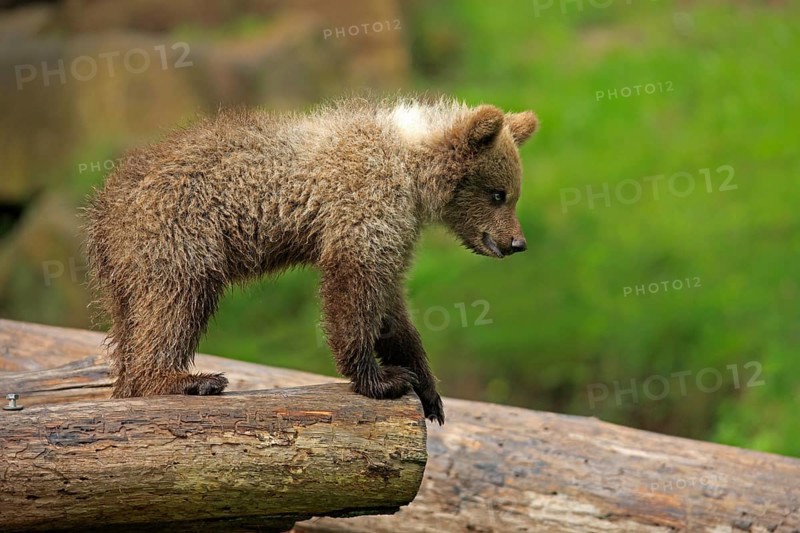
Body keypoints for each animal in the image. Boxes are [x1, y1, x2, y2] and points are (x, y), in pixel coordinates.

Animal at [84, 96, 538, 425]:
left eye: (513, 193)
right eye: (498, 193)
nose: (517, 242)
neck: (410, 165)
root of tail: (104, 209)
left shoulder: (396, 225)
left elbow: (392, 307)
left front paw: (427, 388)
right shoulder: (367, 203)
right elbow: (354, 285)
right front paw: (381, 379)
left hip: (127, 272)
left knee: (135, 323)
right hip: (178, 237)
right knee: (174, 306)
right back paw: (188, 379)